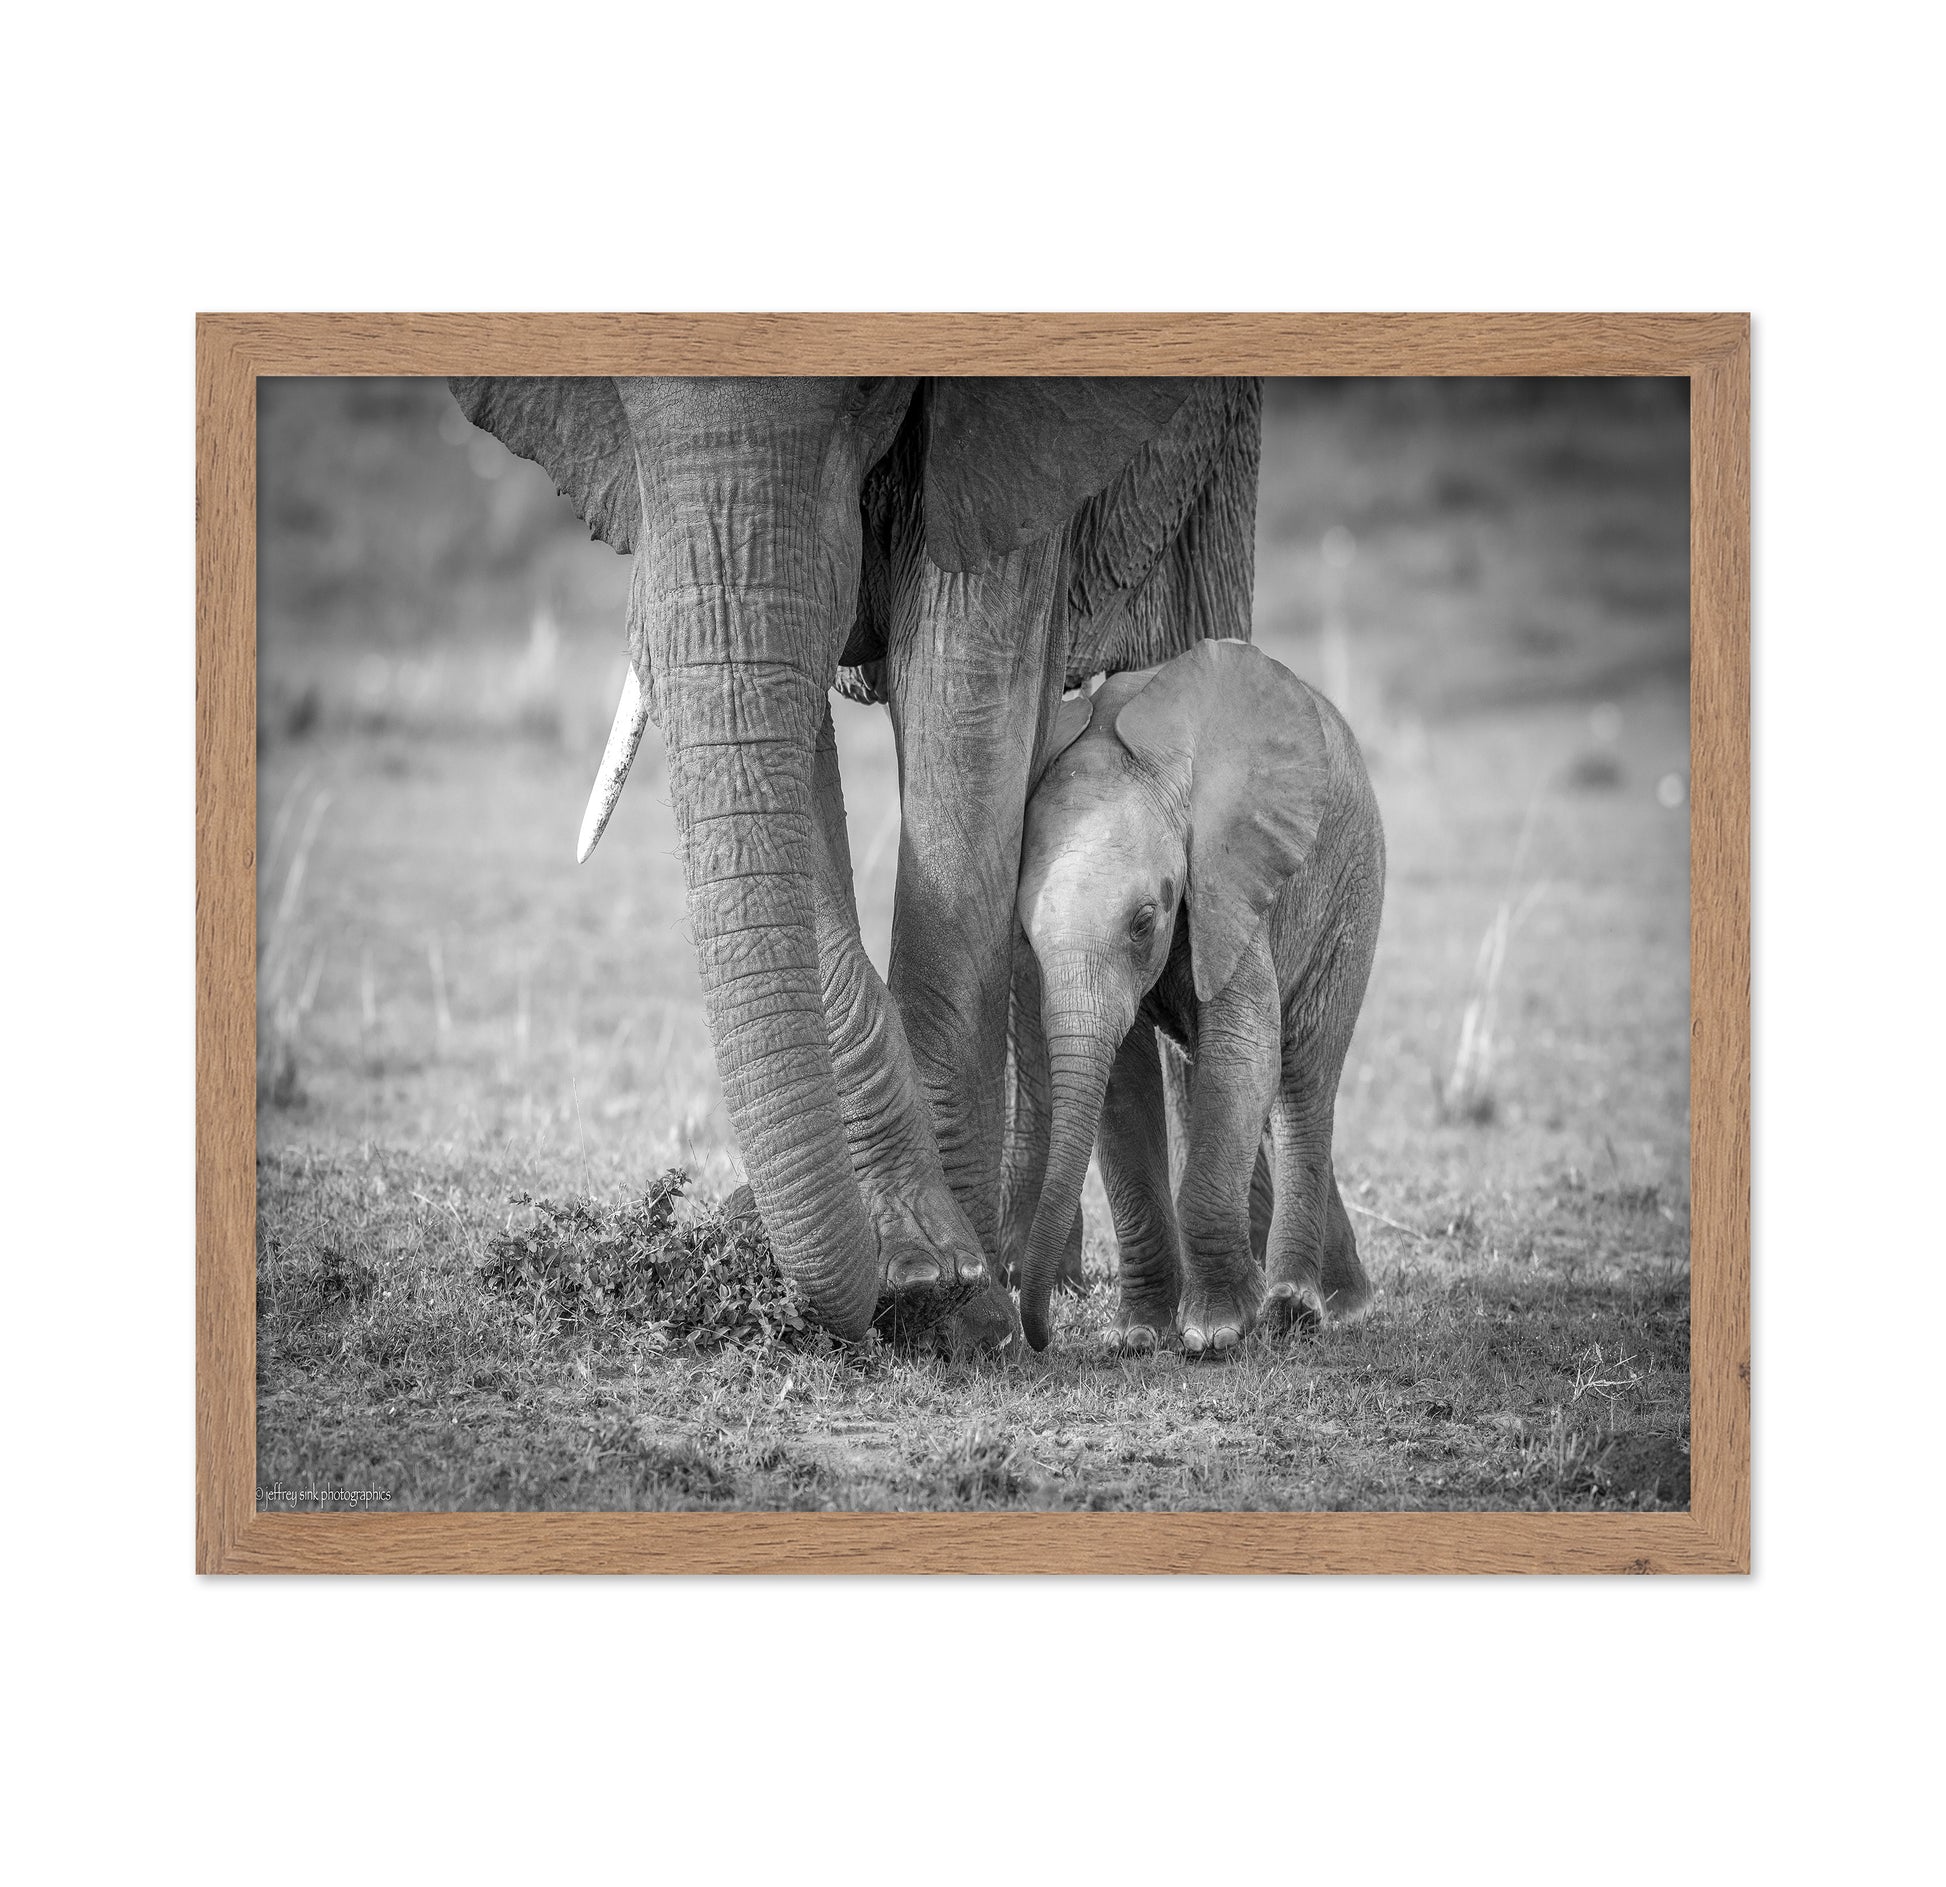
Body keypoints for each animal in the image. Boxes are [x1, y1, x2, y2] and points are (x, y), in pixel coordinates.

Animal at [449, 374, 1264, 1342]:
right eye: (610, 394)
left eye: (873, 391)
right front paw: (927, 1273)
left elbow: (965, 693)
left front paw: (954, 1303)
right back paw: (1042, 1274)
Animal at [1010, 639, 1385, 1354]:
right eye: (1025, 934)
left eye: (1143, 922)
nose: (1038, 1340)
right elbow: (1123, 1087)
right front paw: (1137, 1336)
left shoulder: (1228, 883)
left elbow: (1243, 1053)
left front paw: (1216, 1334)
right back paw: (1343, 1302)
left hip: (1352, 889)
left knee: (1302, 1077)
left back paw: (1299, 1310)